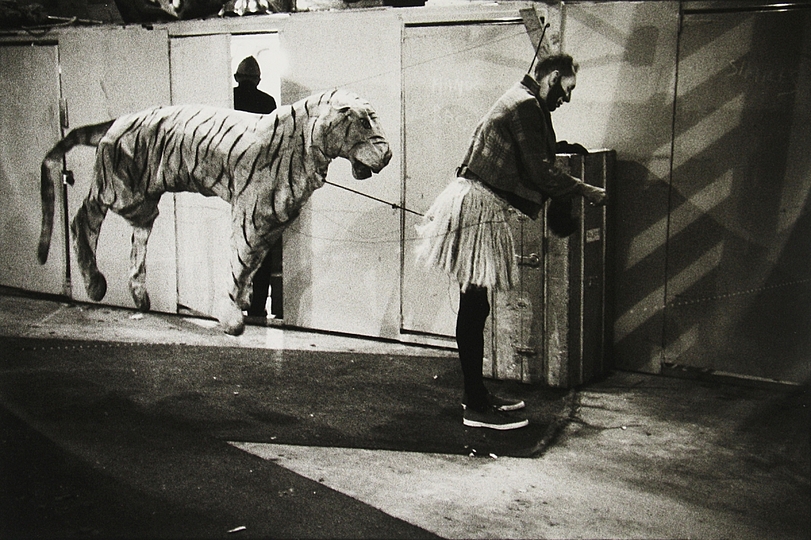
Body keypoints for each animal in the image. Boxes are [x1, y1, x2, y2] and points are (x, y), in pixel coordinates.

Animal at [36, 88, 392, 334]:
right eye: (364, 122)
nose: (388, 155)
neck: (310, 146)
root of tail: (120, 119)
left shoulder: (273, 222)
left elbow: (252, 265)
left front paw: (244, 300)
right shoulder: (252, 216)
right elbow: (240, 262)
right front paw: (230, 313)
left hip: (143, 204)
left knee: (137, 240)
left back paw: (139, 296)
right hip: (120, 189)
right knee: (81, 219)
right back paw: (95, 284)